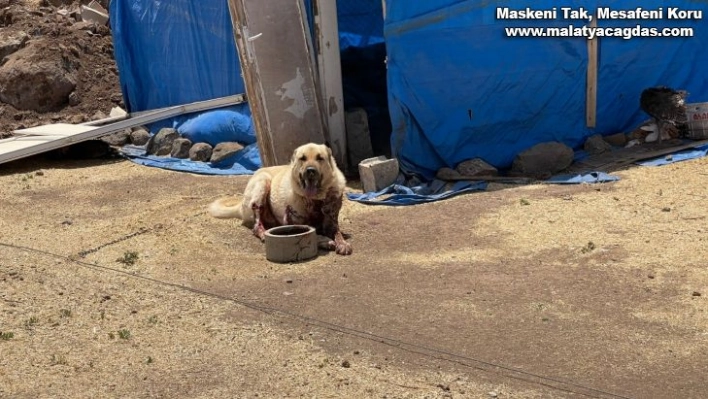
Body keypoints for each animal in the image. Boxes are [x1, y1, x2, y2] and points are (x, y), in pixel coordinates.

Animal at [210, 144, 354, 256]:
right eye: (303, 158)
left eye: (320, 158)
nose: (310, 170)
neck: (315, 200)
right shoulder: (293, 223)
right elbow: (313, 234)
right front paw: (325, 240)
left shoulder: (330, 222)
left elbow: (337, 233)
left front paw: (342, 243)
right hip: (263, 182)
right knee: (256, 224)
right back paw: (262, 233)